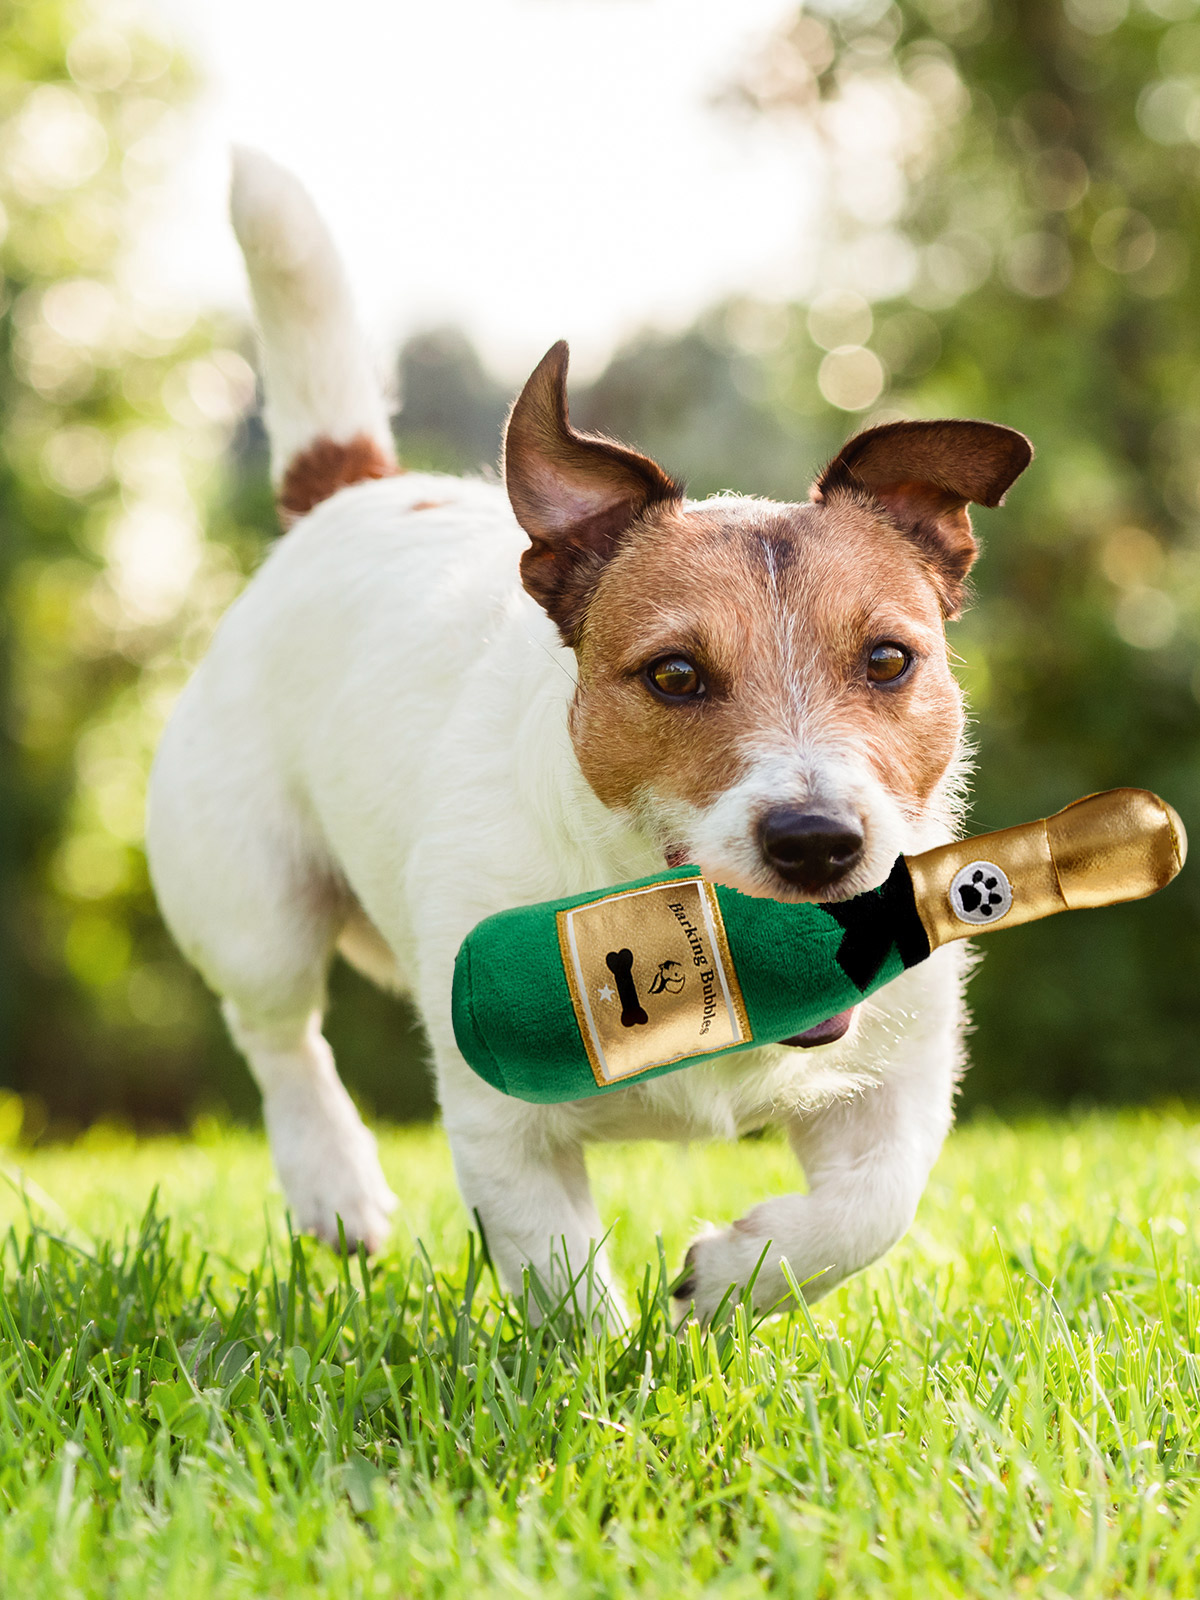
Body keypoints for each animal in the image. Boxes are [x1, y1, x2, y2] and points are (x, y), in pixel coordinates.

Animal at [148, 152, 1036, 1324]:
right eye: (674, 675)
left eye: (890, 660)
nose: (817, 842)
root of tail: (352, 494)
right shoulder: (501, 1118)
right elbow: (563, 1279)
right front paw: (616, 1358)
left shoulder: (896, 1076)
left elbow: (869, 1208)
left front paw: (732, 1277)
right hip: (252, 901)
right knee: (279, 1032)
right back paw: (334, 1183)